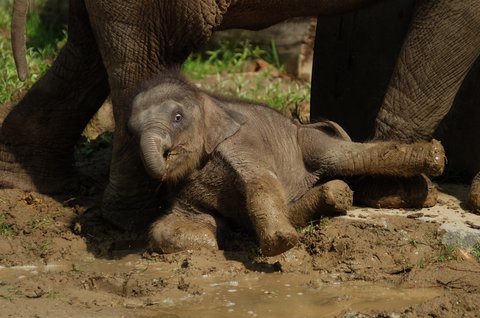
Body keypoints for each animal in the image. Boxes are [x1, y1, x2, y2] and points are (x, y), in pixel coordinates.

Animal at [128, 71, 446, 256]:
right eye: (131, 131)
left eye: (177, 117)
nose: (166, 154)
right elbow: (167, 226)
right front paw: (215, 241)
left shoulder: (240, 144)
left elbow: (263, 183)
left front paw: (280, 243)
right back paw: (339, 195)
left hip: (307, 140)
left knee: (346, 156)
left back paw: (435, 159)